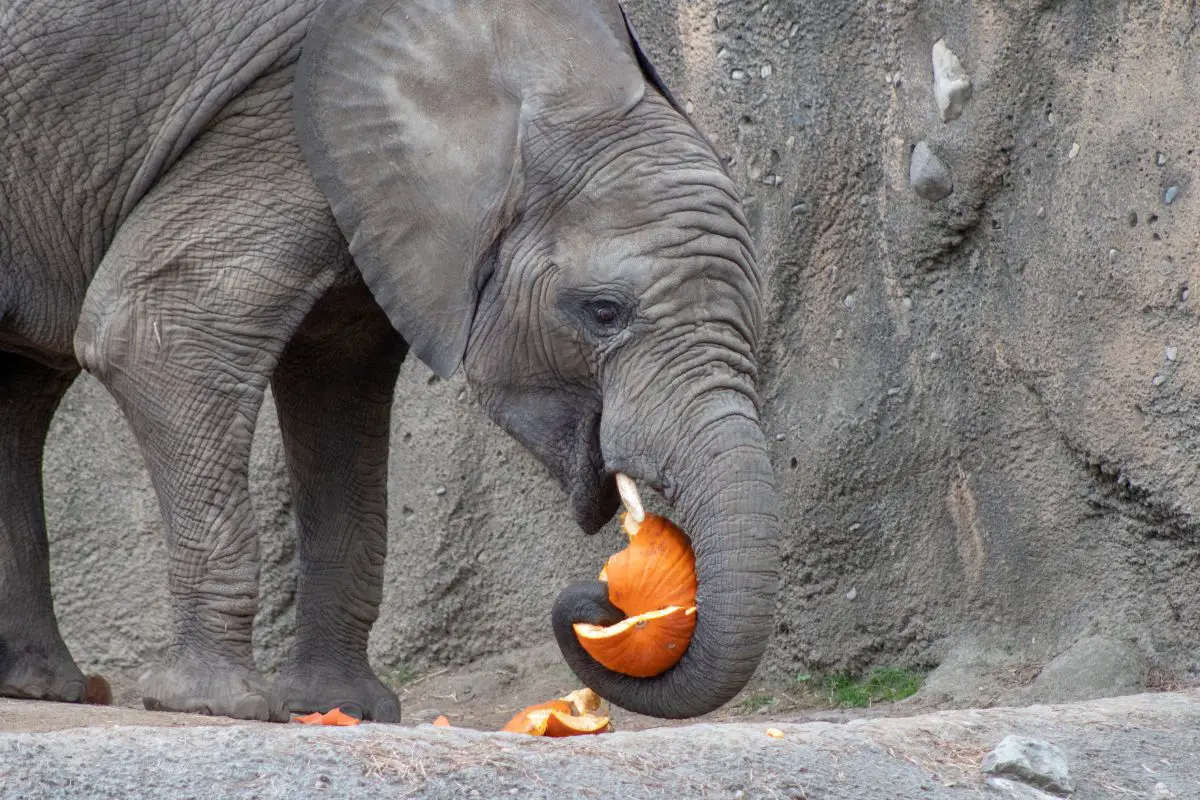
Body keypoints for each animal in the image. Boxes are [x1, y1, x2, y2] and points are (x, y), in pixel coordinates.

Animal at [0, 0, 782, 724]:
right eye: (604, 313)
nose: (602, 598)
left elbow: (337, 385)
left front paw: (342, 709)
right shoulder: (276, 124)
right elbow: (153, 333)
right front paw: (218, 706)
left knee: (21, 388)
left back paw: (41, 688)